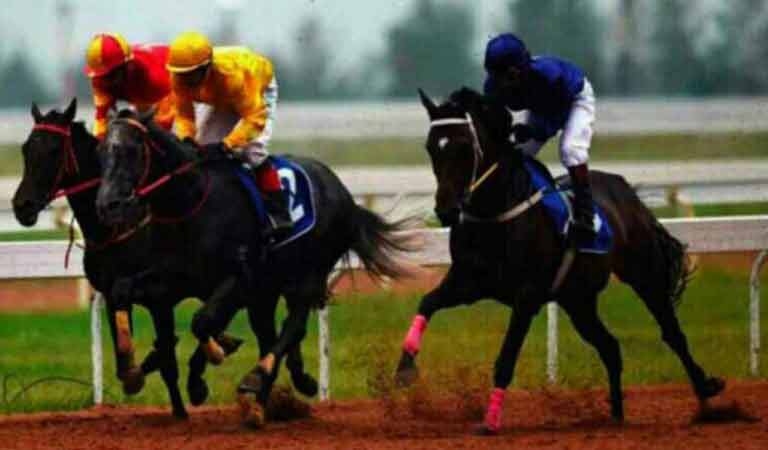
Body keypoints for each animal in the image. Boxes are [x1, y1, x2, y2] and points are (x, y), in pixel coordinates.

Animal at [10, 100, 306, 418]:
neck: (118, 228)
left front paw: (179, 399)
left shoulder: (160, 297)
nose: (22, 206)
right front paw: (144, 380)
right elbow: (138, 344)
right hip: (259, 291)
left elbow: (168, 354)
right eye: (26, 149)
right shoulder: (114, 293)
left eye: (53, 150)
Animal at [94, 108, 416, 427]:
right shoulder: (175, 277)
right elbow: (123, 290)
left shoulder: (237, 278)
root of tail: (344, 193)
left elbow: (203, 321)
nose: (107, 205)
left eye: (132, 150)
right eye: (101, 151)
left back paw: (259, 378)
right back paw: (266, 399)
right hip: (266, 293)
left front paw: (206, 368)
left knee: (291, 327)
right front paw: (132, 369)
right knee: (272, 336)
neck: (191, 202)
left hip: (308, 277)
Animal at [393, 87, 725, 434]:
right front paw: (404, 369)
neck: (495, 214)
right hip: (578, 300)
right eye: (431, 147)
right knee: (610, 347)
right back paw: (616, 414)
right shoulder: (468, 282)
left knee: (672, 333)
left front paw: (491, 419)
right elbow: (427, 302)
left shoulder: (526, 296)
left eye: (464, 147)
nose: (446, 211)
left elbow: (506, 357)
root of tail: (627, 191)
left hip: (643, 273)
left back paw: (705, 391)